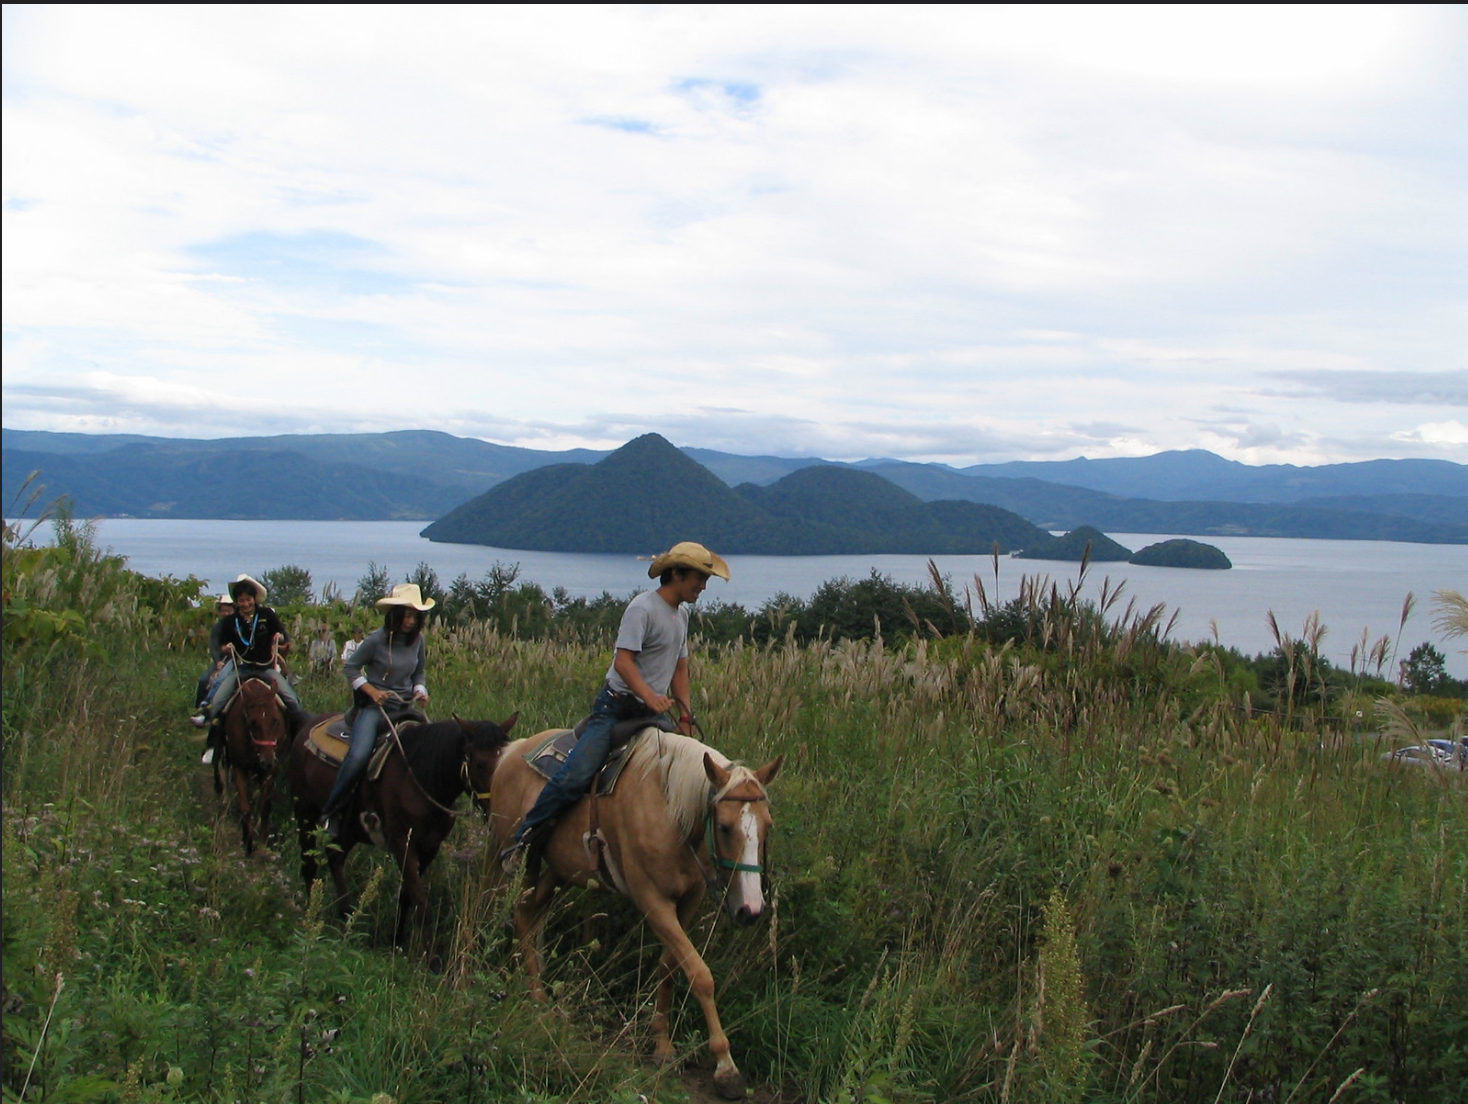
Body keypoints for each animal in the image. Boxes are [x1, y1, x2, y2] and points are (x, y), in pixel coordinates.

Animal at [214, 672, 286, 851]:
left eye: (276, 721)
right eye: (252, 722)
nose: (267, 761)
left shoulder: (270, 771)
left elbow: (265, 806)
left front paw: (262, 841)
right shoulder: (239, 766)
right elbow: (245, 807)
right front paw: (248, 841)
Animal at [284, 710, 516, 951]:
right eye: (479, 764)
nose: (500, 811)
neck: (421, 778)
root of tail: (307, 723)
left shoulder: (429, 847)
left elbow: (407, 895)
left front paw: (397, 940)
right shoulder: (401, 844)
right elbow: (421, 903)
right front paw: (431, 956)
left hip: (350, 829)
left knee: (335, 857)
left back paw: (346, 915)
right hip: (305, 816)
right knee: (309, 865)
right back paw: (313, 917)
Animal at [490, 728, 780, 1098]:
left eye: (767, 826)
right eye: (725, 827)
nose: (751, 910)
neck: (671, 812)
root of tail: (512, 751)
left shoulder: (689, 899)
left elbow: (670, 968)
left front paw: (663, 1046)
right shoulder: (651, 898)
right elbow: (700, 975)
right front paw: (725, 1067)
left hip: (560, 872)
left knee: (527, 914)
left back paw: (537, 993)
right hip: (514, 858)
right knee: (512, 911)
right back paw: (531, 994)